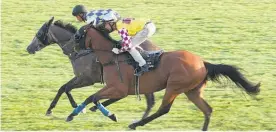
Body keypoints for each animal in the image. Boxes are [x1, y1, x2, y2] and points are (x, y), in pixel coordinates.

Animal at [66, 23, 260, 130]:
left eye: (78, 35)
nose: (72, 50)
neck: (112, 58)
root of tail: (203, 63)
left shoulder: (119, 89)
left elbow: (94, 98)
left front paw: (110, 115)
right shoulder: (114, 89)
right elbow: (91, 98)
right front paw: (73, 113)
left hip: (174, 86)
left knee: (164, 109)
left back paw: (136, 124)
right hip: (192, 91)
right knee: (207, 110)